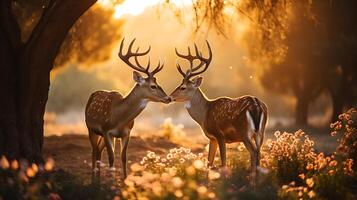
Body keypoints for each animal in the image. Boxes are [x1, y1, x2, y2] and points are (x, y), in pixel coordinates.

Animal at [85, 38, 171, 179]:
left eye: (159, 84)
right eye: (153, 86)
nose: (168, 98)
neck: (119, 118)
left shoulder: (127, 133)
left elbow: (123, 157)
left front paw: (124, 178)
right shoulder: (106, 130)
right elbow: (111, 157)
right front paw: (111, 179)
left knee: (98, 150)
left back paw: (97, 178)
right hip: (90, 128)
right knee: (94, 150)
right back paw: (94, 178)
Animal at [170, 41, 268, 185]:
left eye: (183, 87)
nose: (170, 97)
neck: (204, 115)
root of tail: (256, 105)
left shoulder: (219, 135)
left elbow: (223, 162)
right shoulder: (212, 138)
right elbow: (209, 162)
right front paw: (206, 183)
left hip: (244, 132)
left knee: (254, 152)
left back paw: (253, 183)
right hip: (261, 132)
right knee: (259, 151)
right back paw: (259, 182)